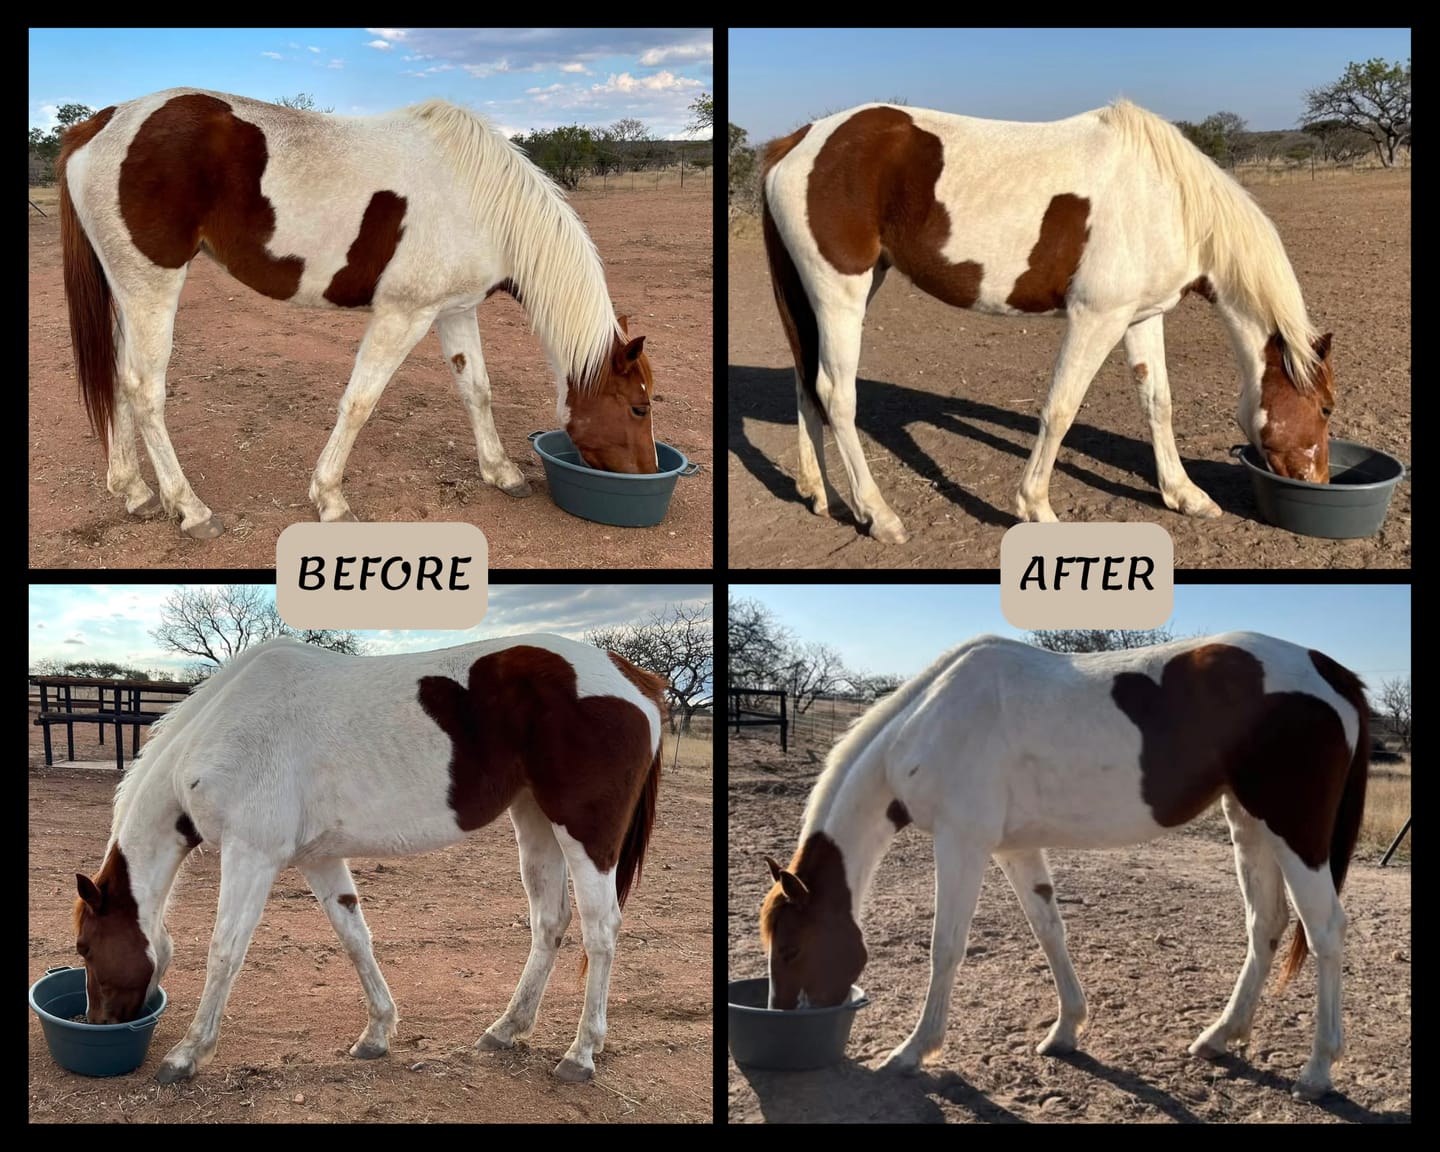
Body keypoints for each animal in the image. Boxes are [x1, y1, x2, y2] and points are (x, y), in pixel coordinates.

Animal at [56, 88, 659, 540]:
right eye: (638, 408)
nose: (651, 474)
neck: (481, 200)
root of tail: (102, 124)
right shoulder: (403, 315)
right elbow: (360, 403)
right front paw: (330, 499)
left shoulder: (454, 311)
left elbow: (477, 391)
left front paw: (501, 472)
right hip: (151, 285)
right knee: (144, 388)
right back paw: (191, 509)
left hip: (127, 289)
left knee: (117, 376)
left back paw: (134, 491)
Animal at [73, 634, 666, 1084]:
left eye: (84, 948)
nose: (97, 1023)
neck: (222, 727)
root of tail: (632, 679)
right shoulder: (317, 859)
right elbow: (354, 938)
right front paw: (377, 1033)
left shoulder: (251, 854)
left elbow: (225, 953)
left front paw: (187, 1054)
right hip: (535, 821)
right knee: (550, 921)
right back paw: (506, 1029)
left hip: (584, 835)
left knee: (600, 930)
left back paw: (580, 1054)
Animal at [760, 632, 1369, 1101]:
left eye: (789, 949)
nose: (783, 1016)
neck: (931, 720)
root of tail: (1329, 670)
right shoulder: (1013, 848)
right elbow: (1049, 930)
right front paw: (1066, 1031)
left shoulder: (962, 842)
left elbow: (945, 947)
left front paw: (913, 1051)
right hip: (1249, 822)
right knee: (1265, 925)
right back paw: (1219, 1037)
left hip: (1294, 832)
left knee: (1325, 932)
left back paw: (1317, 1072)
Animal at [761, 101, 1337, 544]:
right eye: (1327, 409)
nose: (1319, 481)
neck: (1164, 199)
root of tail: (799, 141)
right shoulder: (1095, 319)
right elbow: (1060, 409)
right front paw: (1034, 505)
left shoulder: (1142, 316)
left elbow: (1158, 403)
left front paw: (1185, 495)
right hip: (840, 293)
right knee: (836, 394)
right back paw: (879, 516)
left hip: (828, 292)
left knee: (806, 384)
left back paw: (822, 495)